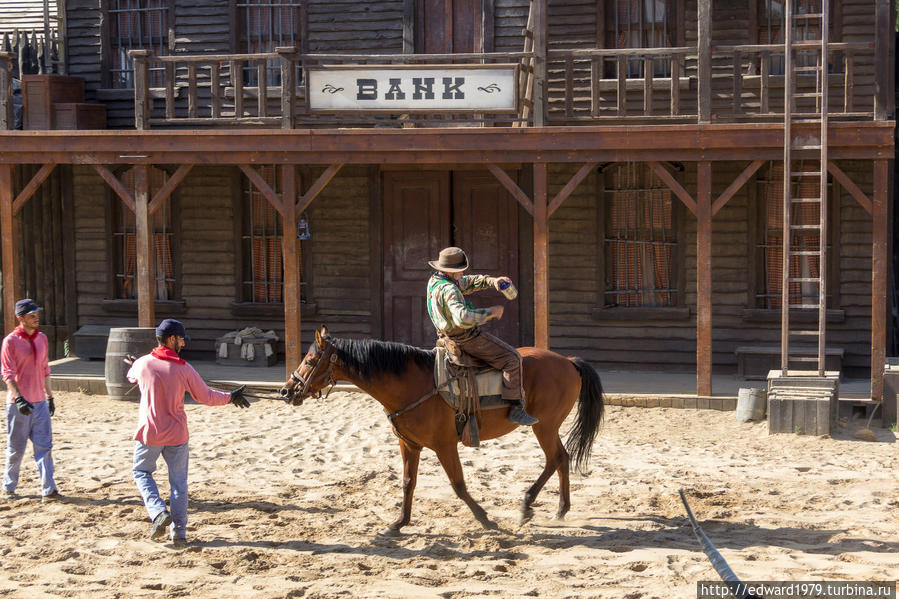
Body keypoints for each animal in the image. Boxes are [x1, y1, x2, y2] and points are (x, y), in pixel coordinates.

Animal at [282, 326, 604, 536]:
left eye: (310, 360)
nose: (287, 391)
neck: (414, 384)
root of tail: (568, 362)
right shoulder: (409, 445)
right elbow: (408, 483)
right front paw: (398, 524)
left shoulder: (445, 445)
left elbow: (458, 485)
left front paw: (486, 520)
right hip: (547, 427)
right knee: (560, 459)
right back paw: (557, 509)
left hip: (545, 426)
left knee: (556, 458)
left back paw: (532, 506)